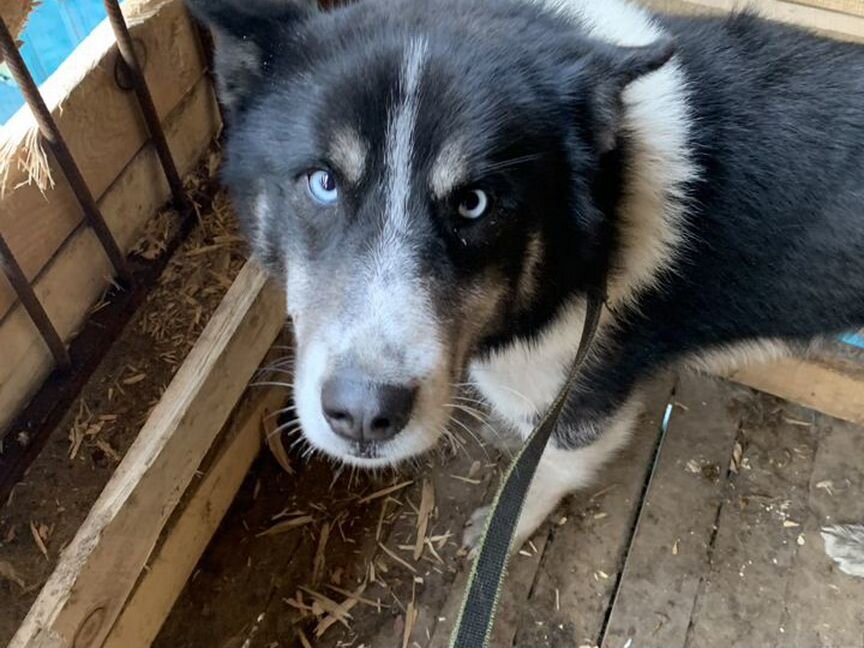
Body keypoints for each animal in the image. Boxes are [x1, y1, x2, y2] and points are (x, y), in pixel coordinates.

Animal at [186, 0, 860, 548]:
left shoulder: (585, 396)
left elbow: (547, 470)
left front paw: (506, 528)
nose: (362, 415)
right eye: (323, 182)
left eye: (475, 203)